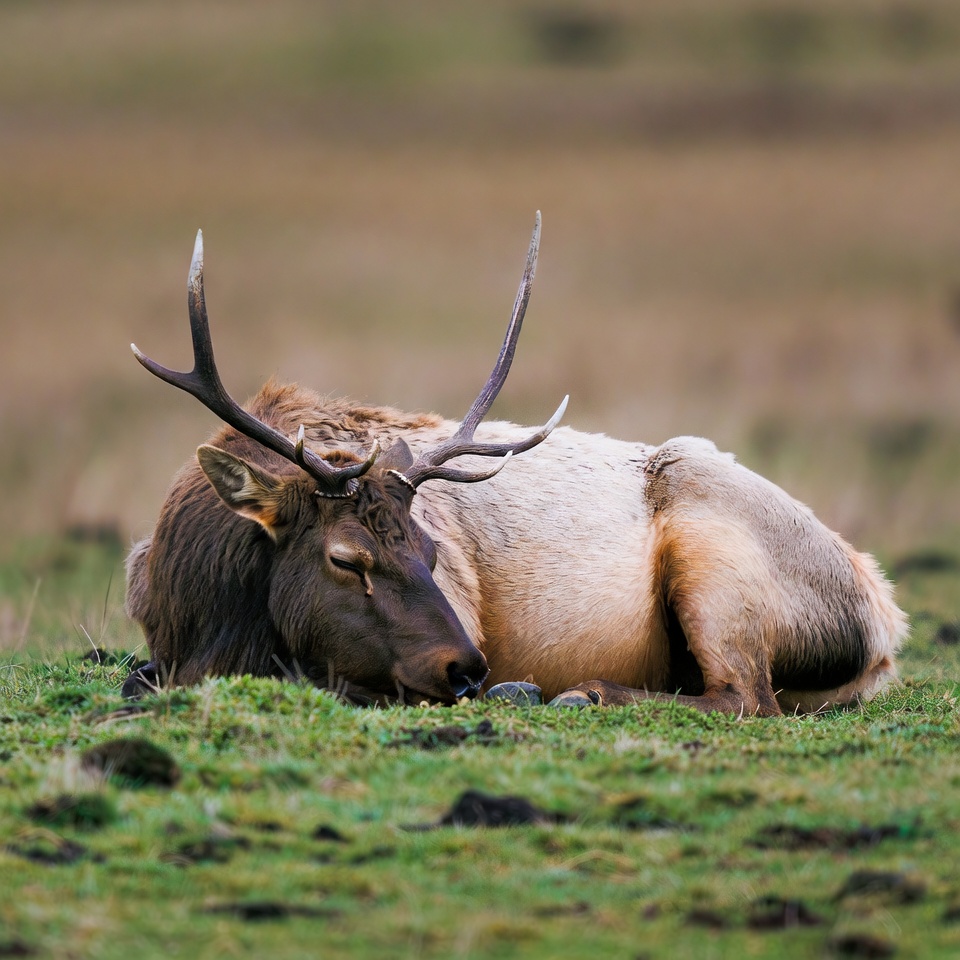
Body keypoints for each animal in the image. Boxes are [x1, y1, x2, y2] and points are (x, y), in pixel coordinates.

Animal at [124, 214, 906, 716]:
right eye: (346, 558)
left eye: (433, 552)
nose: (468, 666)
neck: (201, 613)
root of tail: (885, 627)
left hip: (715, 560)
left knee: (748, 698)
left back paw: (577, 691)